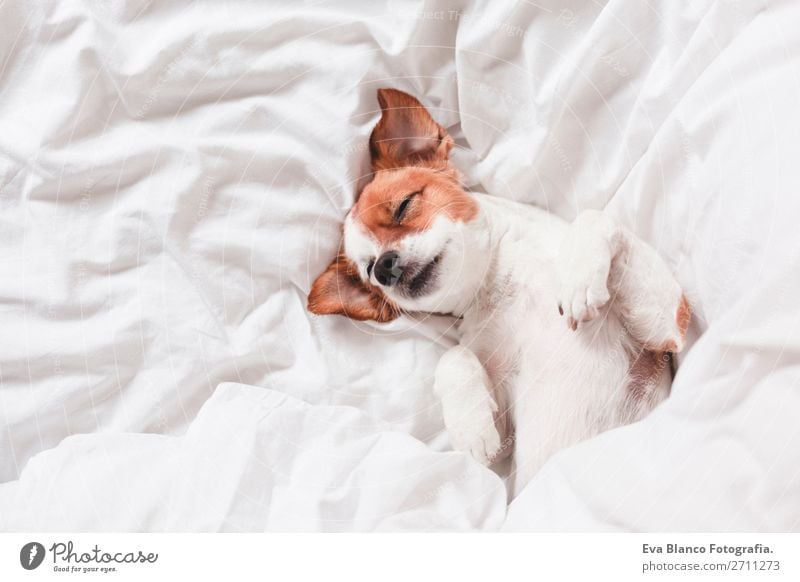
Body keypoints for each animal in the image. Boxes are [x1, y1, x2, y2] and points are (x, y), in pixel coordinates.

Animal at [306, 89, 688, 496]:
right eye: (367, 271)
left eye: (404, 206)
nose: (383, 267)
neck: (498, 281)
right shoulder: (504, 434)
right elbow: (454, 358)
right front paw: (471, 429)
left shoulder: (667, 331)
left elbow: (594, 217)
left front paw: (578, 275)